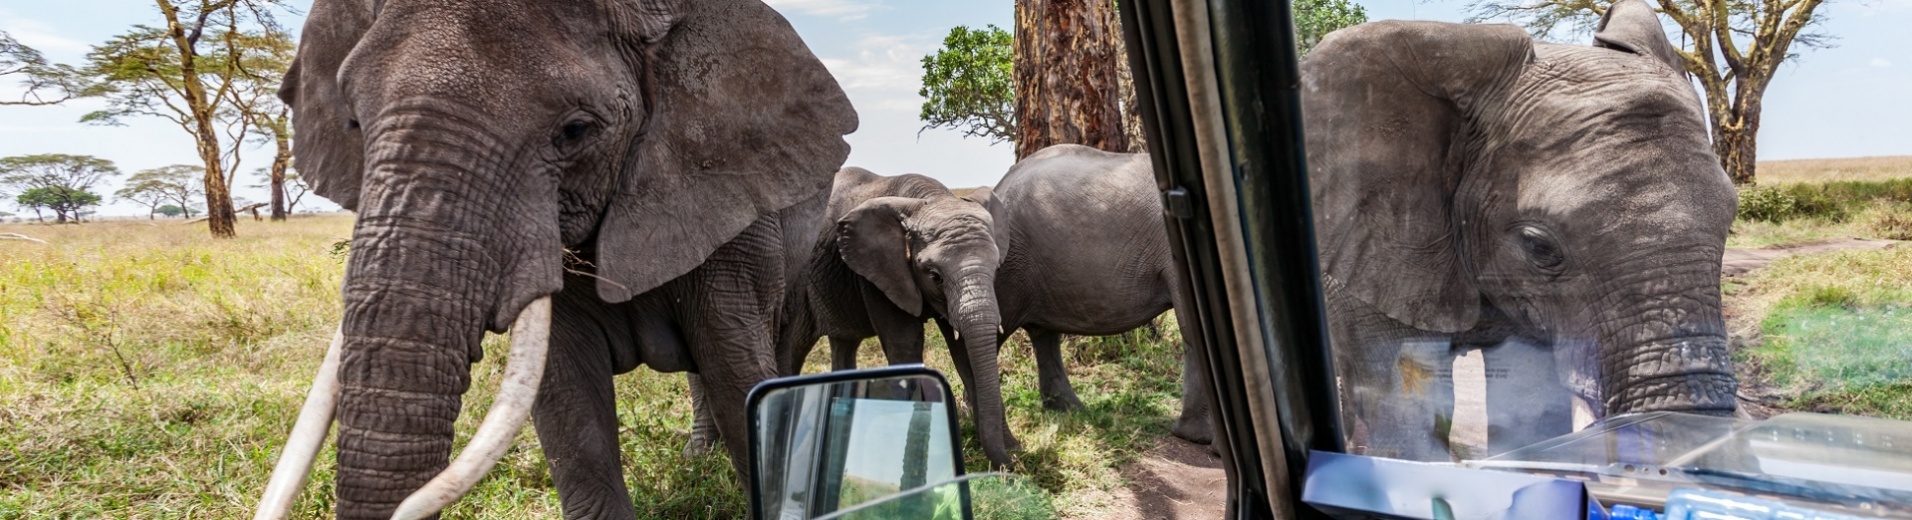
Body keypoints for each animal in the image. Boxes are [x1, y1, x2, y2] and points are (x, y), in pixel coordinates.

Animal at [258, 0, 856, 516]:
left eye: (575, 130)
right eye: (354, 123)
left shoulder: (730, 204)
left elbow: (738, 382)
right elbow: (570, 406)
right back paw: (696, 457)